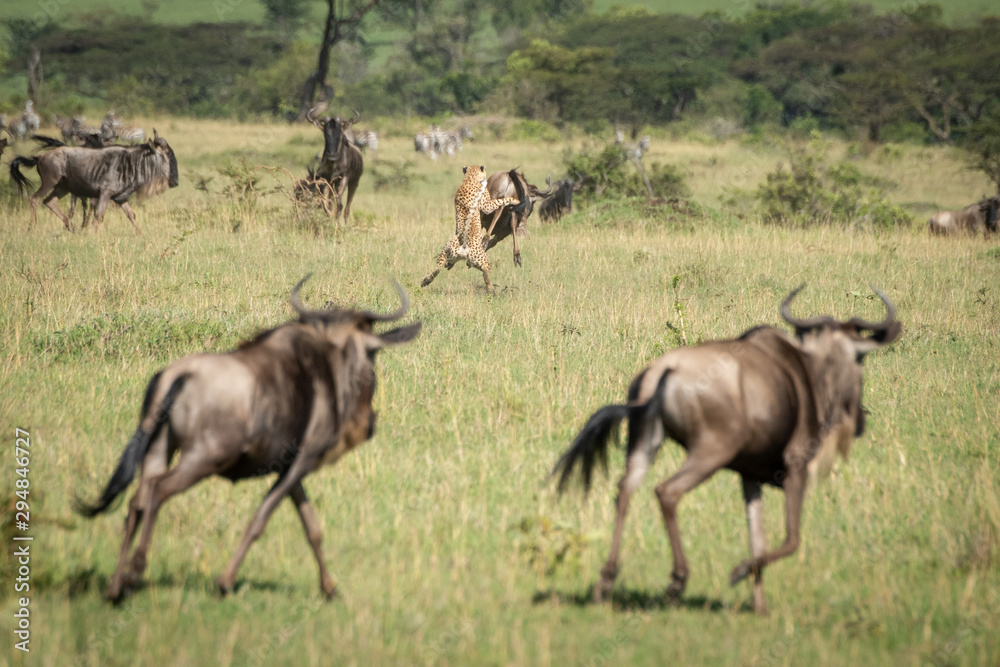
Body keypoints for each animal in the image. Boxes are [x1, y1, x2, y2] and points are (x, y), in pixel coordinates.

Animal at [421, 165, 525, 294]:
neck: (470, 178)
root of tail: (464, 247)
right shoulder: (487, 205)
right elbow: (500, 201)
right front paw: (514, 200)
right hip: (483, 260)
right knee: (486, 272)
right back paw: (491, 290)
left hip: (445, 252)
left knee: (438, 269)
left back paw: (426, 280)